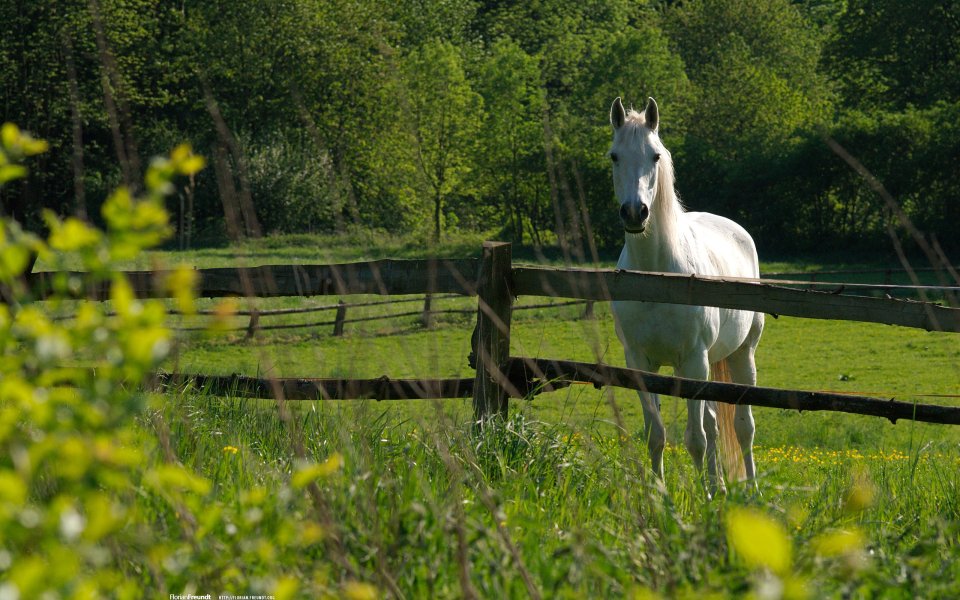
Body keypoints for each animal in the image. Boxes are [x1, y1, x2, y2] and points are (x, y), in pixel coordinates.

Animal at [608, 97, 764, 497]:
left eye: (655, 156)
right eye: (614, 156)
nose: (634, 213)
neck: (656, 279)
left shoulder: (693, 361)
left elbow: (696, 439)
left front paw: (705, 500)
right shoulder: (641, 363)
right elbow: (656, 435)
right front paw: (659, 497)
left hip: (740, 356)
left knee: (743, 427)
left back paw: (751, 491)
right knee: (713, 423)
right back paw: (720, 486)